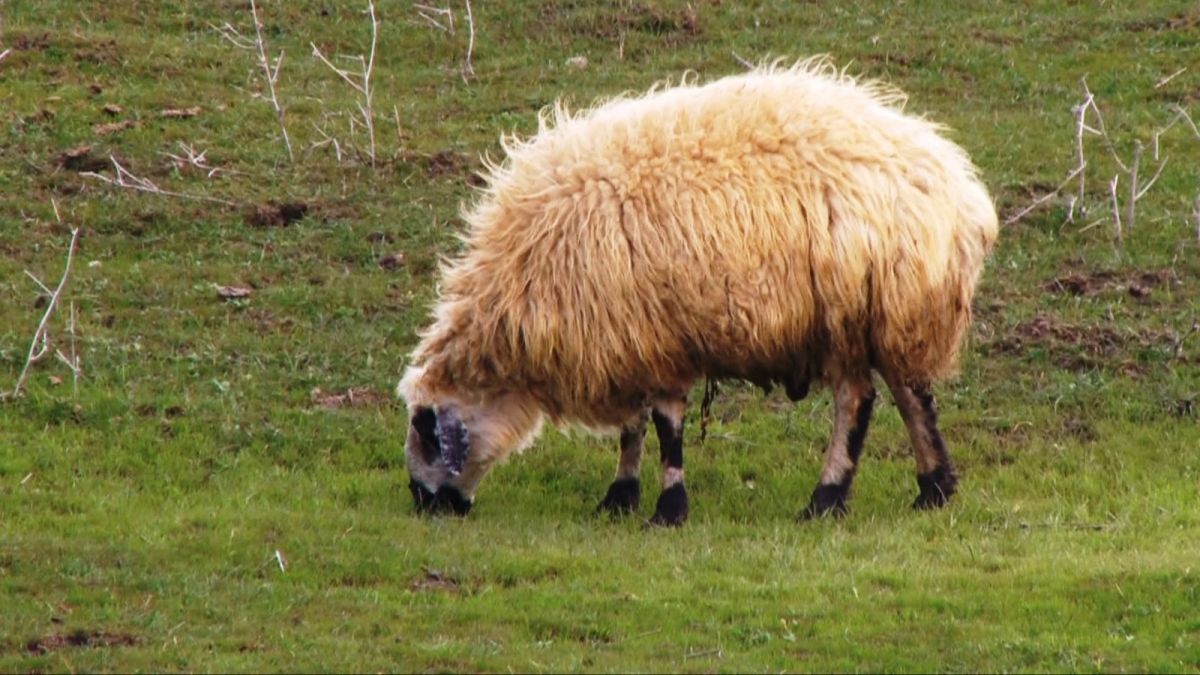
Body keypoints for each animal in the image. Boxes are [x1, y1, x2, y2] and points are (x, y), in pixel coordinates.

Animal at [398, 57, 998, 523]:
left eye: (425, 427)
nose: (422, 502)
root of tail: (954, 184)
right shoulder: (630, 338)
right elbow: (634, 428)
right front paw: (619, 498)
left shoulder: (658, 337)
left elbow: (665, 427)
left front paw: (667, 509)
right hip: (887, 309)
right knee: (907, 391)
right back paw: (932, 489)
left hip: (856, 308)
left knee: (861, 400)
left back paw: (827, 499)